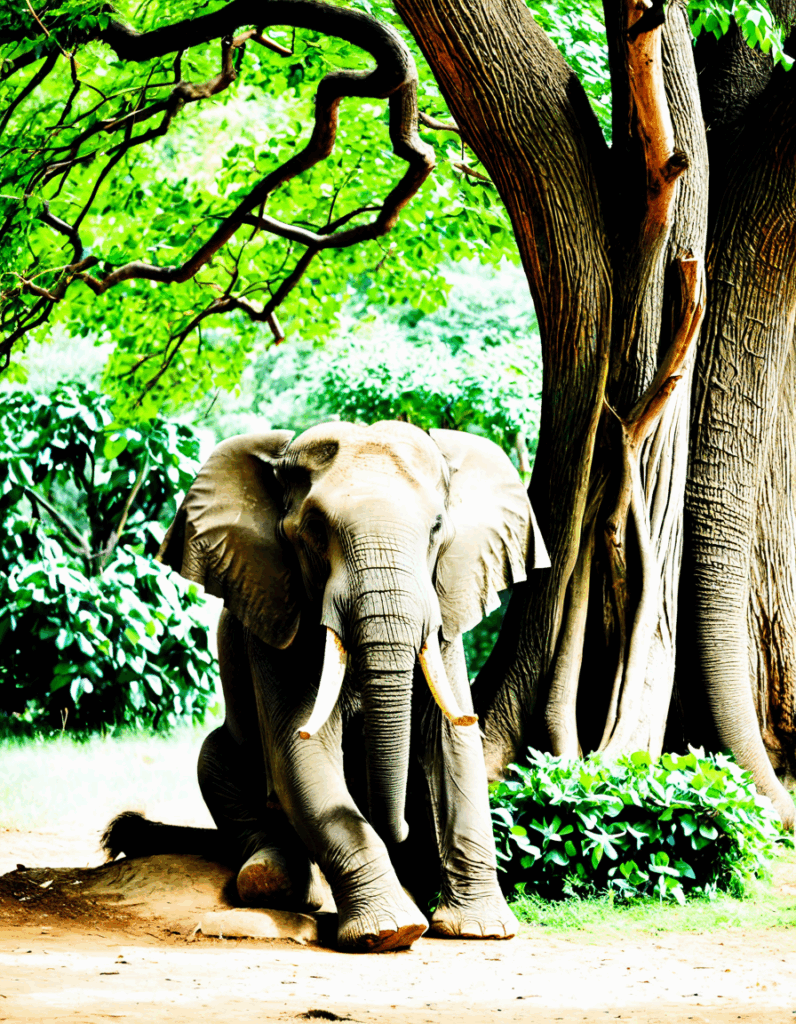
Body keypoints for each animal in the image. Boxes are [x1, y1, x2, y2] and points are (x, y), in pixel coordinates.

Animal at [105, 420, 548, 952]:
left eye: (437, 529)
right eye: (314, 531)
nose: (398, 829)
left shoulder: (443, 612)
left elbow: (453, 745)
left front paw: (482, 930)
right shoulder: (277, 610)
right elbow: (299, 750)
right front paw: (390, 933)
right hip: (225, 758)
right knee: (214, 764)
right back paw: (273, 878)